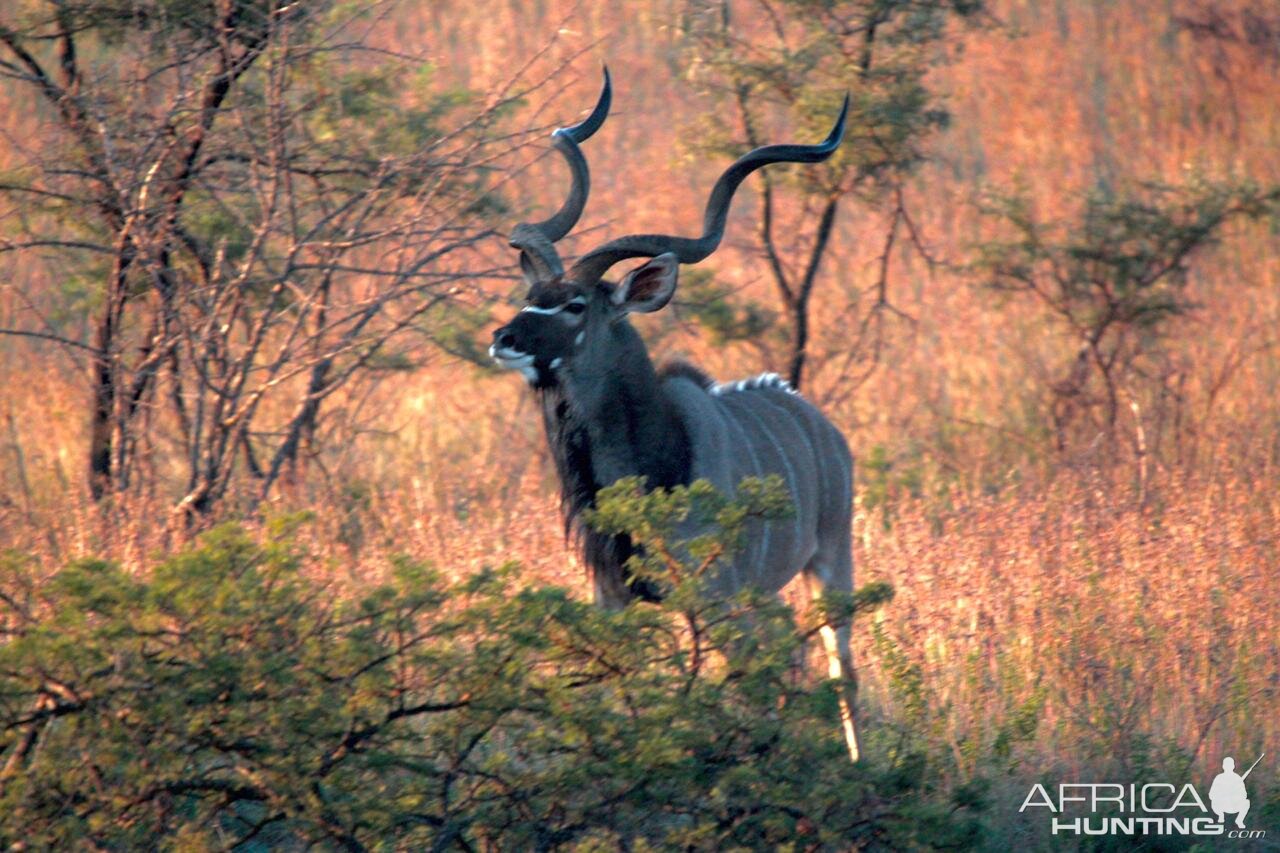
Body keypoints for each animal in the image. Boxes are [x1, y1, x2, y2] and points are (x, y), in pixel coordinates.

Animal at [488, 69, 860, 753]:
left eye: (576, 305)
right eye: (532, 294)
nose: (505, 338)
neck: (656, 461)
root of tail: (819, 421)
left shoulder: (710, 596)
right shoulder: (615, 597)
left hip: (829, 563)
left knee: (837, 669)